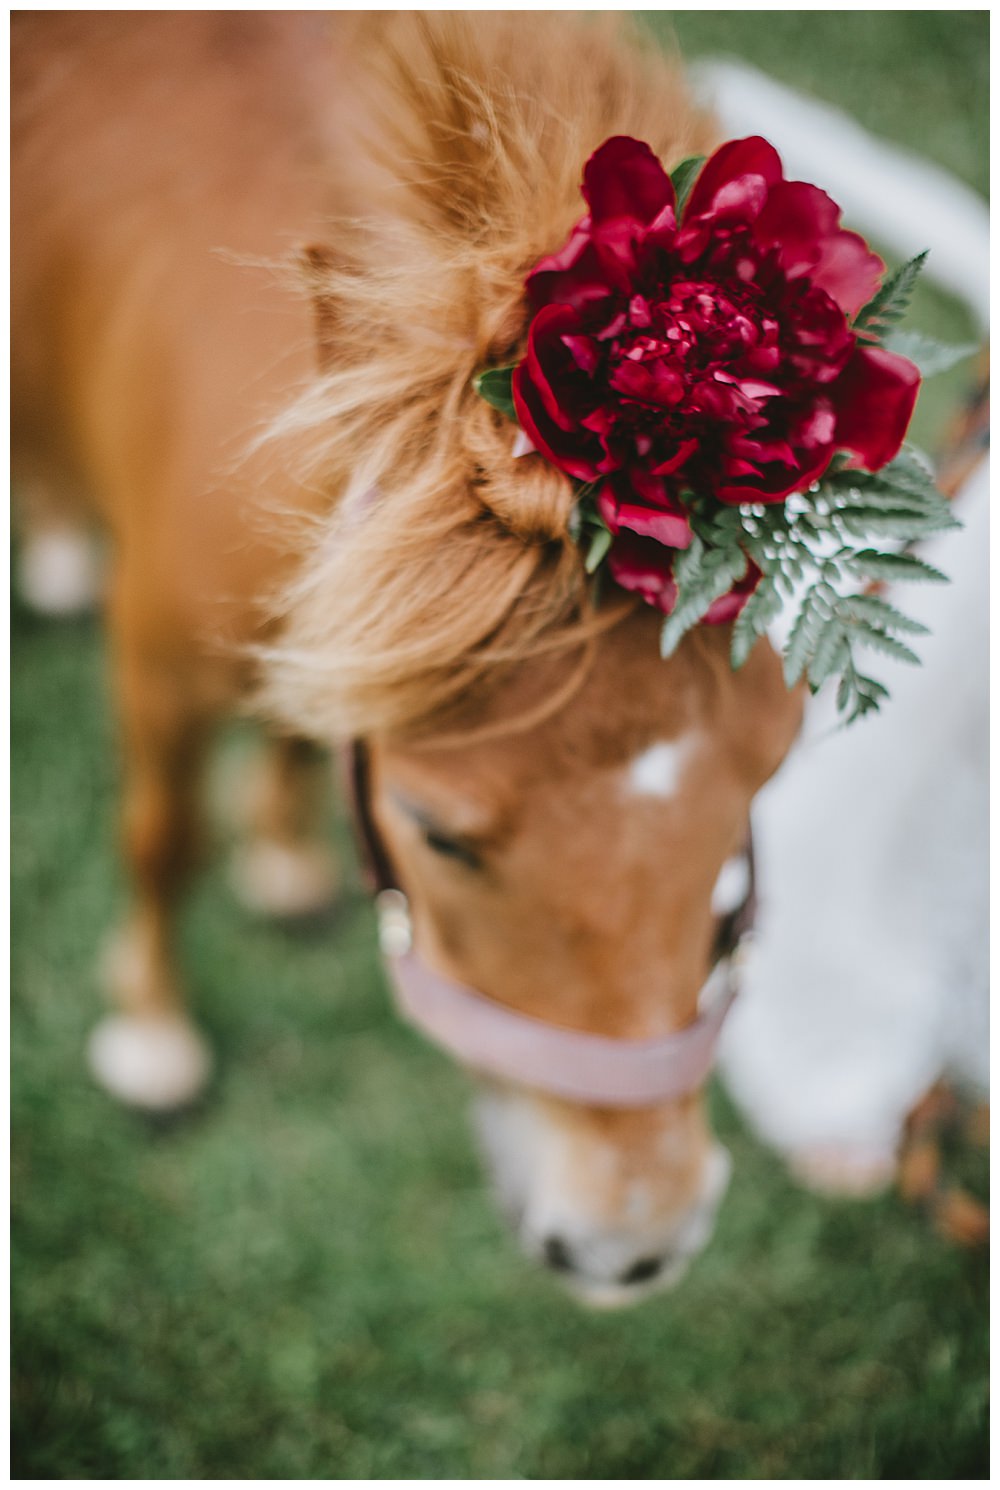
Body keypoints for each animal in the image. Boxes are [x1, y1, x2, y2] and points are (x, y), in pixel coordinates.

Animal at [11, 14, 804, 1305]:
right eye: (438, 836)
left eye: (758, 788)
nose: (632, 1239)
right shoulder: (158, 671)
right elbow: (163, 840)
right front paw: (153, 1040)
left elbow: (307, 718)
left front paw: (283, 858)